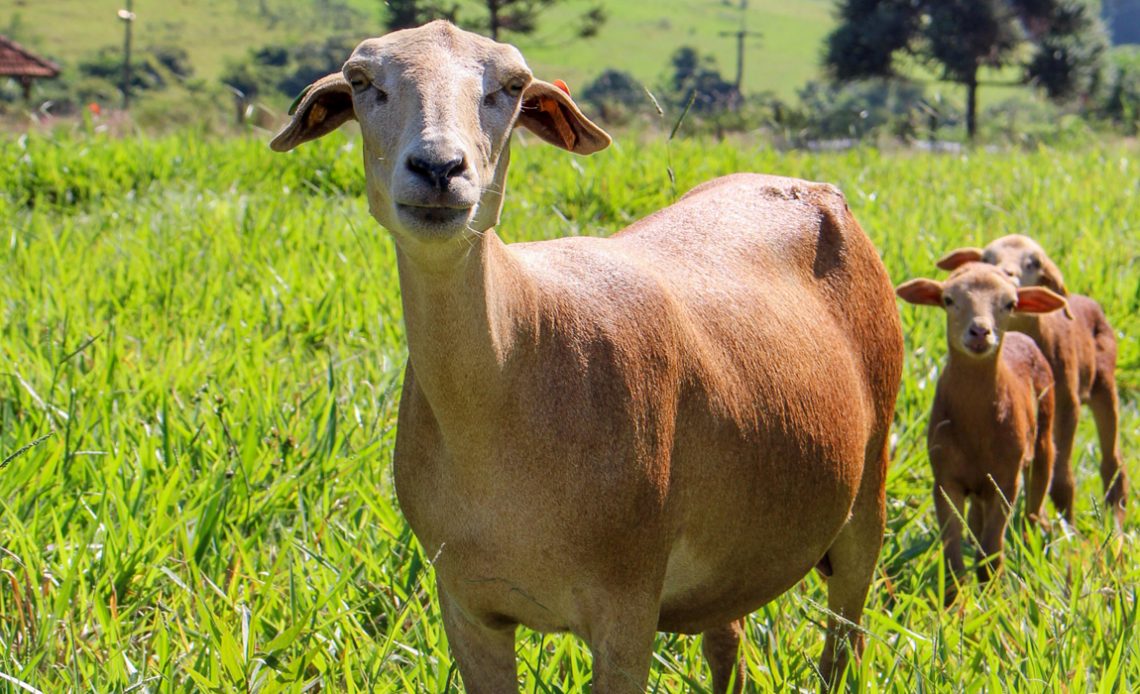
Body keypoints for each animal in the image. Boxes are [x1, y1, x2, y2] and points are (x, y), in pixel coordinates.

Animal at [934, 233, 1130, 524]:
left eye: (1034, 263)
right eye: (986, 258)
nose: (1006, 273)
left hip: (1104, 386)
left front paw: (1066, 525)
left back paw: (1115, 517)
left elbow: (1061, 476)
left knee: (1112, 461)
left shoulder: (1066, 402)